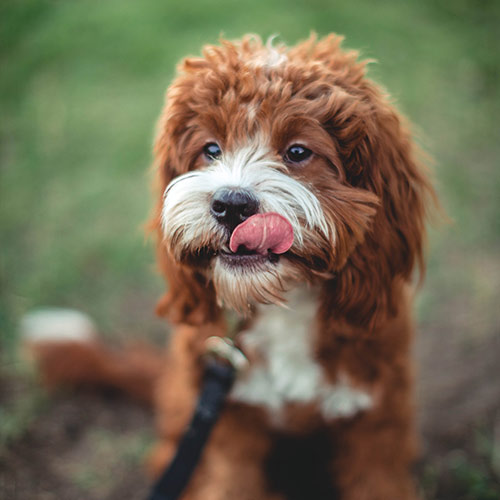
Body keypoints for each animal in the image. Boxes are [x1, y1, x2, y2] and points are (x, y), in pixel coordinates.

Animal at [27, 35, 436, 500]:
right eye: (211, 149)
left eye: (298, 151)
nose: (231, 204)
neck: (285, 305)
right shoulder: (227, 422)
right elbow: (231, 480)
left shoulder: (378, 416)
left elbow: (379, 476)